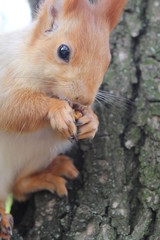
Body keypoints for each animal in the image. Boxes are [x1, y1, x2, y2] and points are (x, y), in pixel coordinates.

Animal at [0, 0, 127, 238]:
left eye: (108, 61)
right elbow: (11, 108)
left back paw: (46, 174)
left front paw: (91, 121)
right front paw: (57, 109)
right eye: (63, 51)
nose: (83, 99)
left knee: (18, 188)